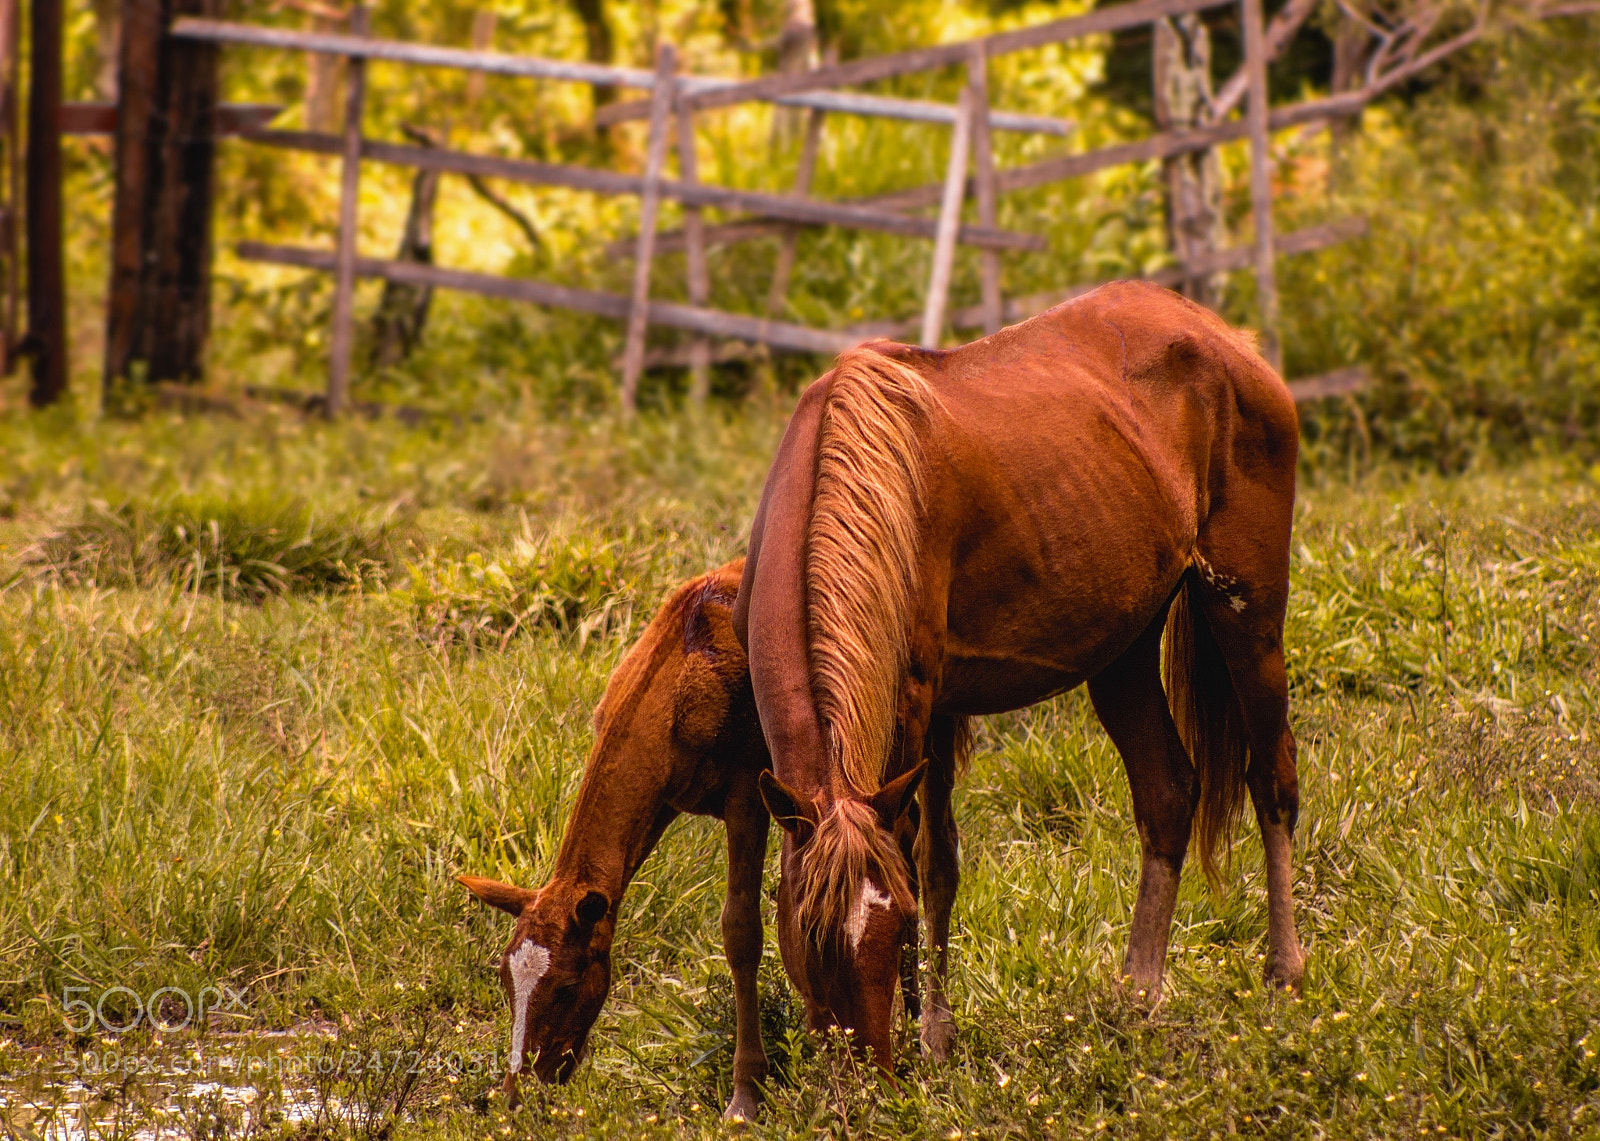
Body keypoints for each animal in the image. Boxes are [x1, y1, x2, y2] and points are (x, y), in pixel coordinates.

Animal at [457, 562, 777, 1119]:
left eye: (566, 987)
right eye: (504, 978)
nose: (518, 1093)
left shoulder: (748, 794)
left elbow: (742, 931)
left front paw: (746, 1094)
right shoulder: (665, 799)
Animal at [734, 280, 1307, 1072]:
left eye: (895, 923)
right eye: (808, 935)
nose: (869, 1072)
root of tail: (1225, 339)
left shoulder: (917, 702)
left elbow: (922, 857)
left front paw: (931, 1034)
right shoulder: (926, 716)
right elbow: (937, 858)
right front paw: (934, 1031)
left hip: (1247, 613)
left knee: (1271, 778)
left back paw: (1284, 974)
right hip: (1122, 650)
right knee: (1168, 793)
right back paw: (1138, 993)